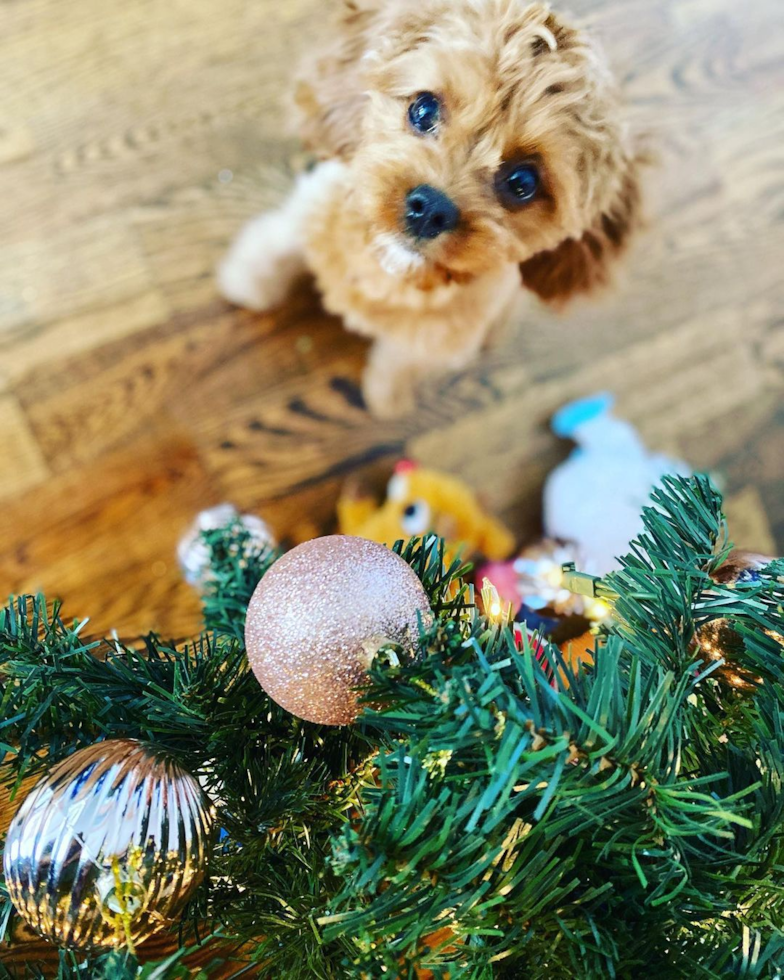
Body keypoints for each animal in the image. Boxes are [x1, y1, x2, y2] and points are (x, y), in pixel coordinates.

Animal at [217, 0, 640, 418]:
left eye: (523, 183)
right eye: (423, 110)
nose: (431, 208)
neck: (390, 270)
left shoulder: (438, 340)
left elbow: (401, 362)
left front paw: (386, 398)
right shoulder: (308, 211)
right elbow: (271, 252)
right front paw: (245, 287)